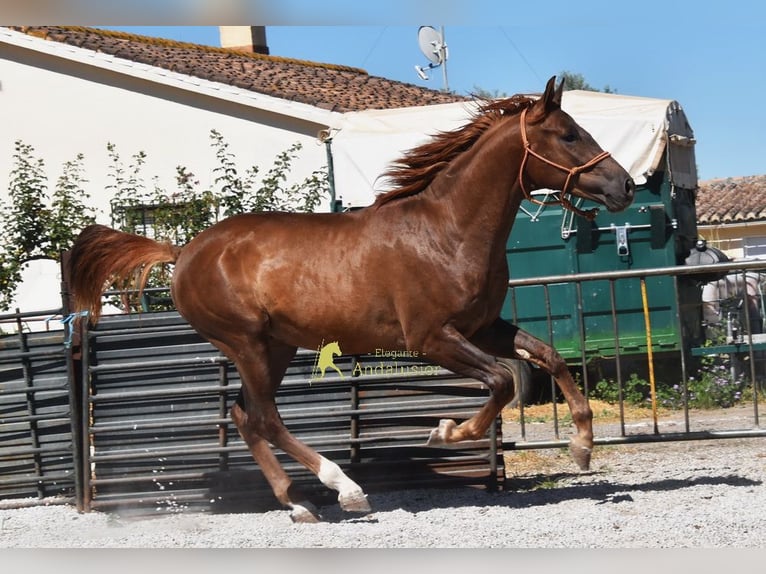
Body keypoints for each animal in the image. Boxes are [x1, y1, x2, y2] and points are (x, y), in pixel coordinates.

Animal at [67, 76, 635, 523]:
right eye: (568, 134)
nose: (625, 186)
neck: (448, 231)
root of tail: (183, 250)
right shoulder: (431, 337)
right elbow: (500, 381)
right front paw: (447, 431)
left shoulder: (482, 326)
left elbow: (548, 356)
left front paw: (582, 446)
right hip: (246, 341)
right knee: (265, 417)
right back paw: (346, 489)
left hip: (274, 347)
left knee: (245, 416)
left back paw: (298, 503)